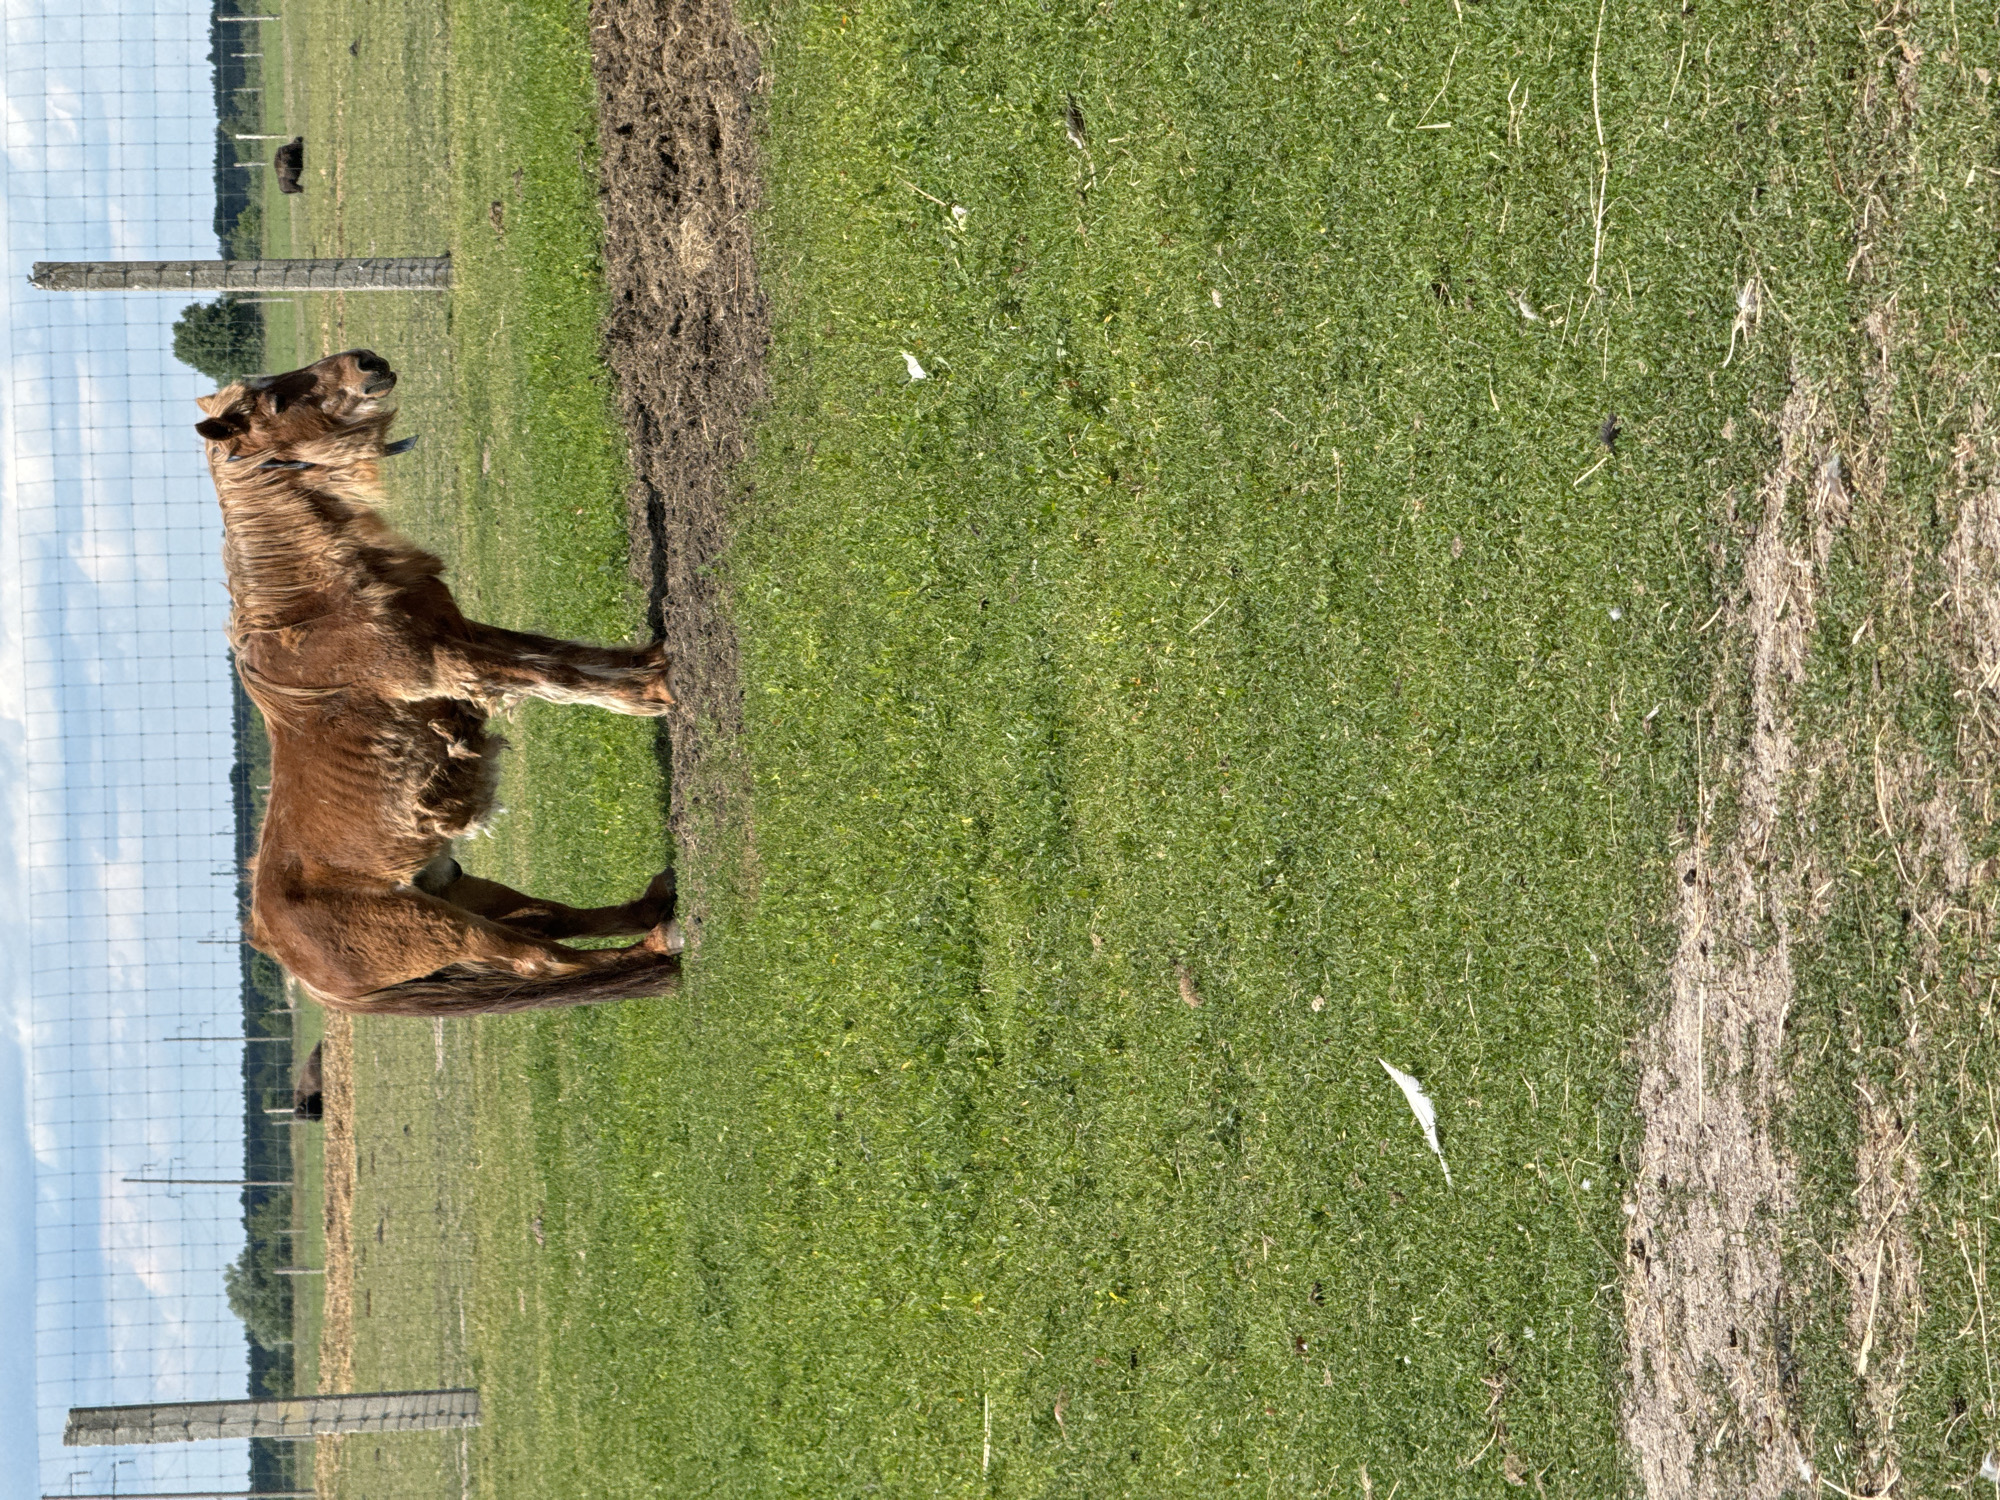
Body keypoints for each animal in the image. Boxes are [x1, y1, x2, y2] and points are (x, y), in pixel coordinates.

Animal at [195, 349, 684, 1015]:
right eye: (273, 401)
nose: (368, 362)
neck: (313, 606)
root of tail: (282, 950)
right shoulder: (447, 663)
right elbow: (552, 675)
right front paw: (657, 695)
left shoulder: (458, 632)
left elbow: (563, 656)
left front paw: (655, 664)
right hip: (441, 928)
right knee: (541, 958)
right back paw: (661, 944)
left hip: (455, 890)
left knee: (549, 919)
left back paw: (659, 905)